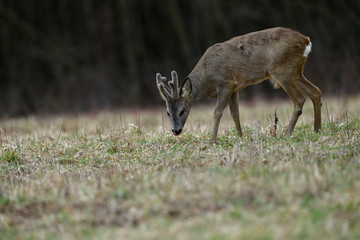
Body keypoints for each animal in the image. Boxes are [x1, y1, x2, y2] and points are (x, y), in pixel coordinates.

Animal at [155, 26, 320, 142]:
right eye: (168, 112)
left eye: (182, 111)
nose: (175, 131)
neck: (207, 76)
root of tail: (306, 41)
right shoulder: (235, 88)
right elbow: (235, 113)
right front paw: (240, 137)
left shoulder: (226, 83)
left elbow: (217, 112)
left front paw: (212, 140)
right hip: (295, 72)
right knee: (315, 91)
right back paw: (317, 130)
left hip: (281, 71)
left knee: (300, 99)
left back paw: (287, 133)